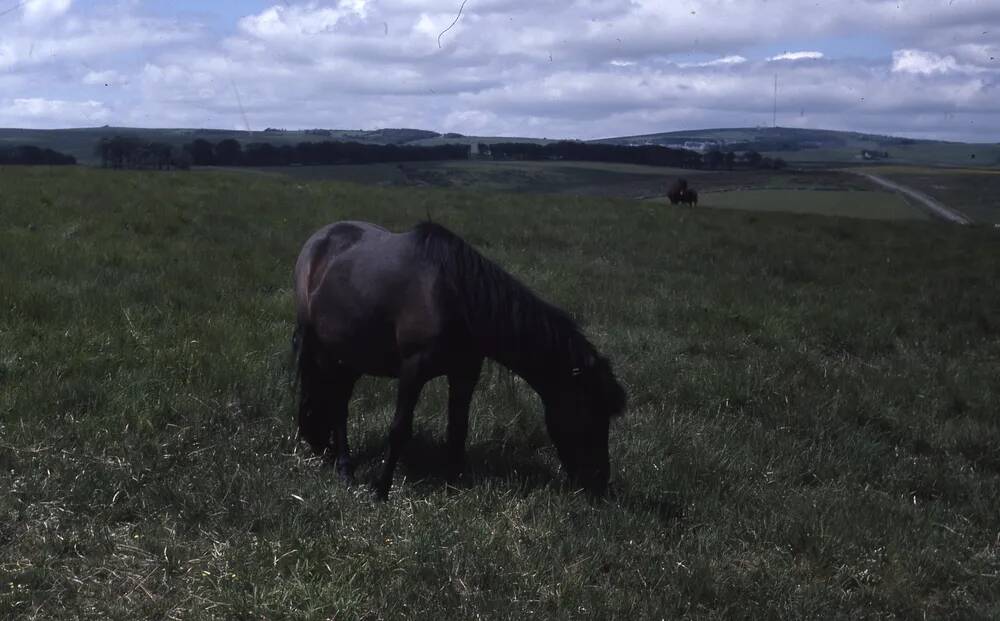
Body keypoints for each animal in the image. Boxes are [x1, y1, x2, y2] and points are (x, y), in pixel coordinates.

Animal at [292, 220, 624, 496]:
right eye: (589, 413)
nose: (599, 482)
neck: (454, 296)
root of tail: (317, 243)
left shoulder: (466, 371)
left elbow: (457, 428)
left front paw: (453, 483)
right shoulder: (413, 371)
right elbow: (399, 429)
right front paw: (381, 490)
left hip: (351, 357)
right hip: (327, 354)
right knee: (337, 408)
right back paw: (345, 469)